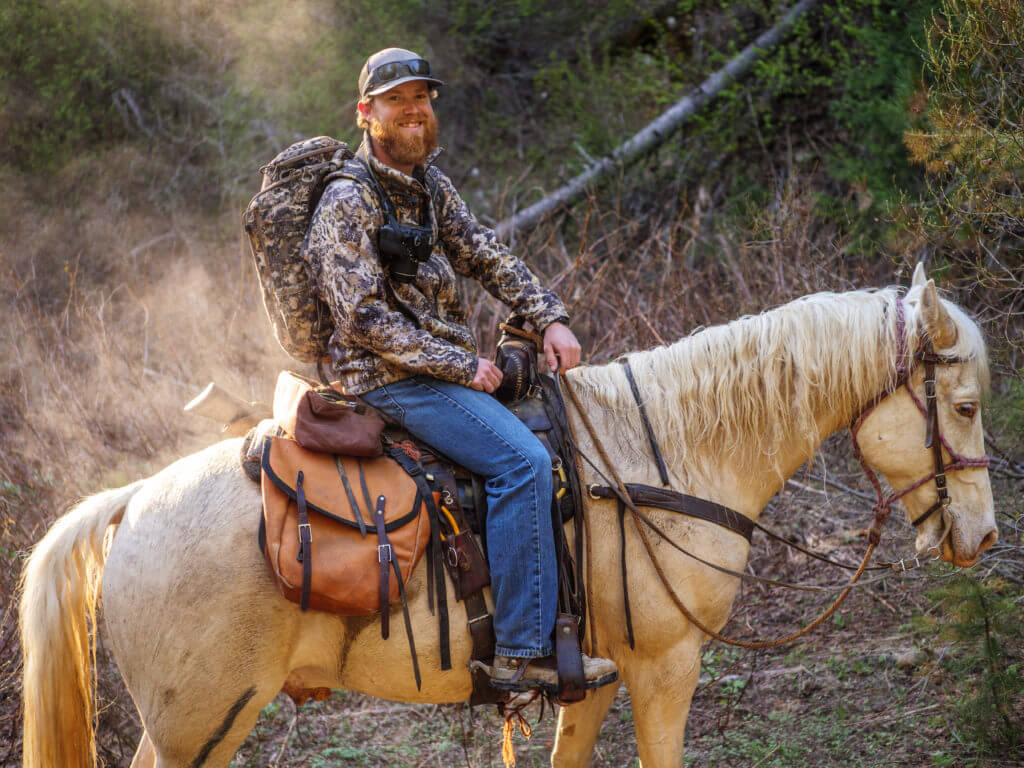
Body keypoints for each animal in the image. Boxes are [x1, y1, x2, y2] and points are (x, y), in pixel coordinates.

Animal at [22, 266, 999, 768]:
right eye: (964, 406)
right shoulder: (667, 665)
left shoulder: (594, 676)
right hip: (197, 725)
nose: (985, 538)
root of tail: (129, 502)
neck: (658, 457)